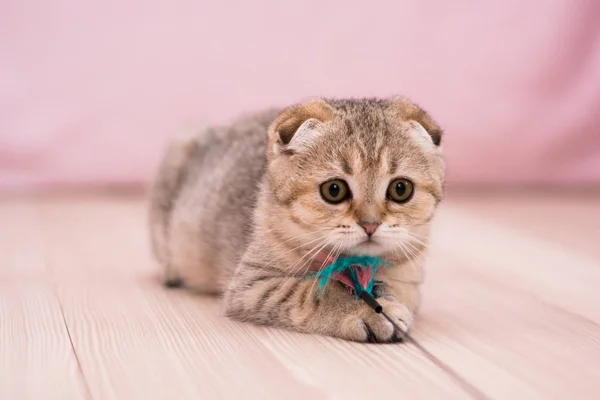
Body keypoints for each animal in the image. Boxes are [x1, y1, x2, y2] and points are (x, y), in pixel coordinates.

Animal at [148, 97, 442, 344]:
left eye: (400, 189)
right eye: (334, 190)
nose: (370, 225)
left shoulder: (409, 283)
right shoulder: (251, 284)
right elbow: (314, 292)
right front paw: (365, 311)